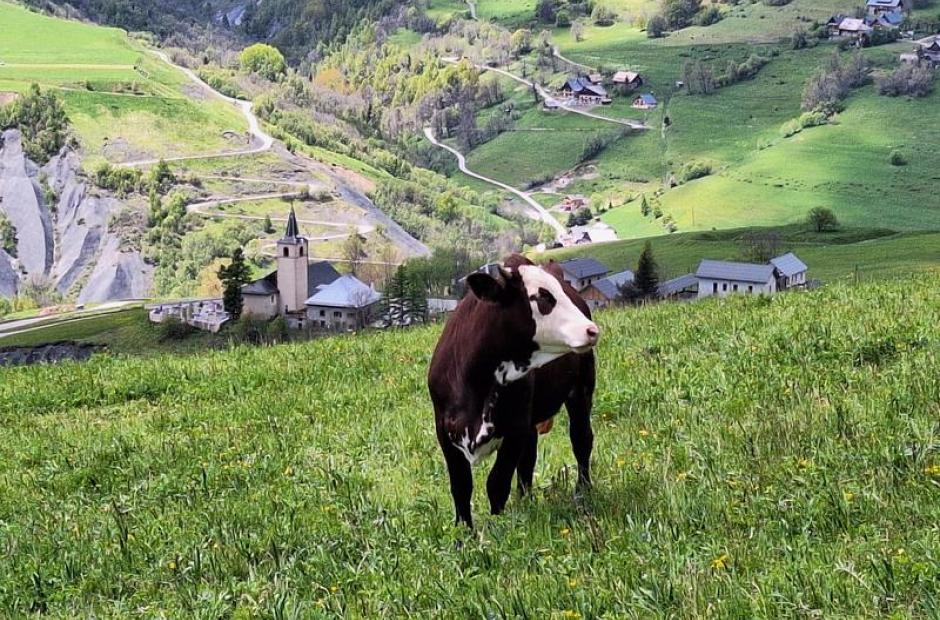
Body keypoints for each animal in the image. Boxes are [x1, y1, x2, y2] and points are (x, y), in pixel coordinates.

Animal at [428, 254, 600, 528]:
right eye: (542, 296)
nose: (591, 330)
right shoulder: (444, 431)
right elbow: (461, 488)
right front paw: (464, 532)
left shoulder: (515, 428)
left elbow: (496, 484)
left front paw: (501, 527)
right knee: (529, 458)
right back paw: (525, 501)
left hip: (581, 391)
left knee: (581, 439)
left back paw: (582, 491)